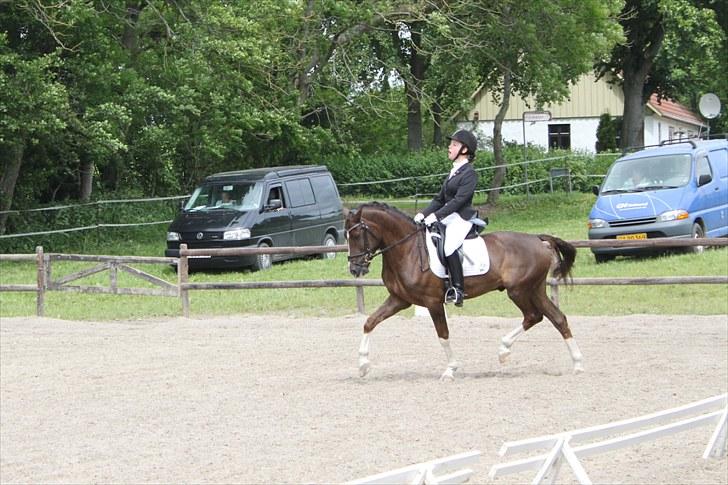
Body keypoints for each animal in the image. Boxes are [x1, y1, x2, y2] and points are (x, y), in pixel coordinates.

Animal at [345, 202, 583, 380]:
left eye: (356, 235)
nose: (355, 269)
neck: (407, 249)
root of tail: (538, 239)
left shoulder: (432, 302)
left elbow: (443, 335)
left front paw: (450, 370)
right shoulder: (399, 299)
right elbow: (370, 322)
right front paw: (363, 365)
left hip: (519, 290)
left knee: (534, 316)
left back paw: (503, 350)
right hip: (534, 289)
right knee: (557, 318)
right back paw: (577, 364)